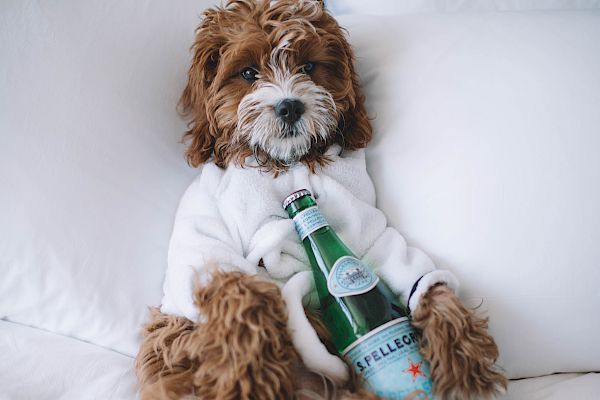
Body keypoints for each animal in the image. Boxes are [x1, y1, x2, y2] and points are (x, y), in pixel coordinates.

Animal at [136, 1, 506, 398]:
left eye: (308, 67)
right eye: (248, 72)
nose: (289, 106)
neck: (286, 164)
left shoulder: (366, 225)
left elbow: (406, 269)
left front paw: (460, 354)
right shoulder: (204, 234)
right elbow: (233, 289)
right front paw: (250, 374)